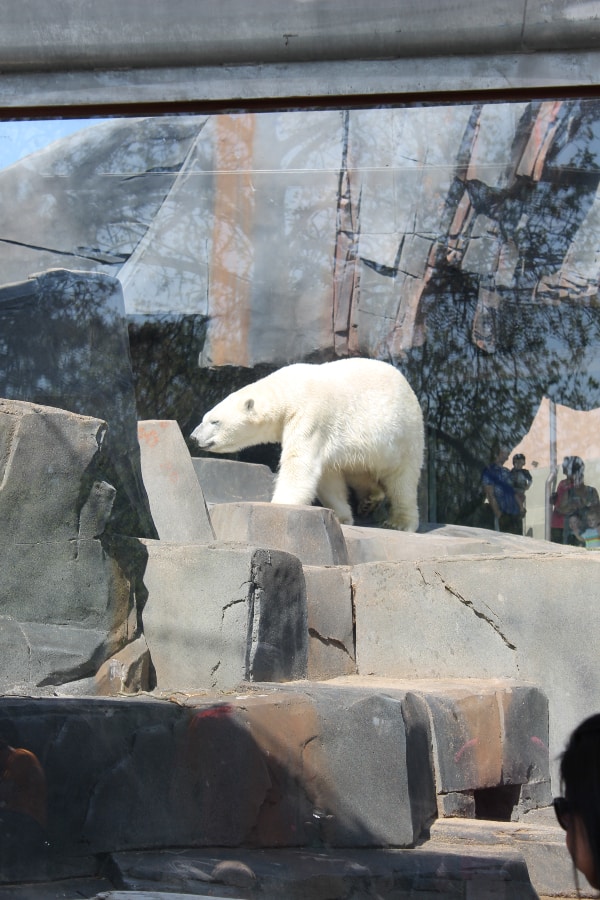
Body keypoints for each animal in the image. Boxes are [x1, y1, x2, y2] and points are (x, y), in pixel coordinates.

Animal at [190, 356, 424, 532]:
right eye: (204, 417)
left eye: (215, 421)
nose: (193, 437)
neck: (288, 391)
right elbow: (328, 477)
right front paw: (342, 517)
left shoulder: (310, 416)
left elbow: (300, 462)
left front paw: (280, 505)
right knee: (359, 471)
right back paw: (369, 500)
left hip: (404, 436)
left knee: (402, 480)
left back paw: (400, 522)